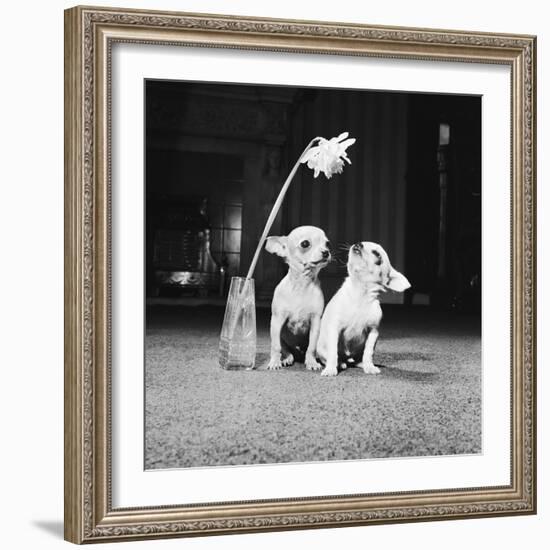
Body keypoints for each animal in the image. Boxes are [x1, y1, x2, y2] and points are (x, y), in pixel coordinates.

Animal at [264, 226, 332, 374]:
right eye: (305, 244)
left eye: (327, 244)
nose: (326, 252)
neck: (302, 284)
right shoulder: (277, 321)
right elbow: (275, 346)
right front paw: (274, 362)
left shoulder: (315, 322)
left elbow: (311, 347)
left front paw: (311, 362)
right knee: (284, 348)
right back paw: (287, 358)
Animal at [316, 243, 412, 378]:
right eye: (361, 242)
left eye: (377, 254)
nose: (358, 244)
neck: (360, 292)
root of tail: (348, 358)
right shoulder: (335, 328)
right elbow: (333, 352)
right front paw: (330, 369)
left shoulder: (373, 331)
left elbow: (368, 352)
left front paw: (369, 366)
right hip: (321, 349)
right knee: (332, 358)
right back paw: (340, 364)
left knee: (357, 360)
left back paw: (362, 364)